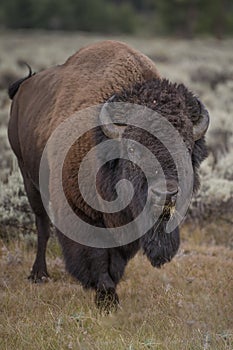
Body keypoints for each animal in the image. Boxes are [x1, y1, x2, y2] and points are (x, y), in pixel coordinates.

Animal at [7, 41, 209, 312]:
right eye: (133, 148)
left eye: (186, 148)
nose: (166, 192)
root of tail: (23, 87)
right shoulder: (80, 212)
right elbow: (96, 255)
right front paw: (106, 297)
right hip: (28, 176)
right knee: (42, 225)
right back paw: (39, 274)